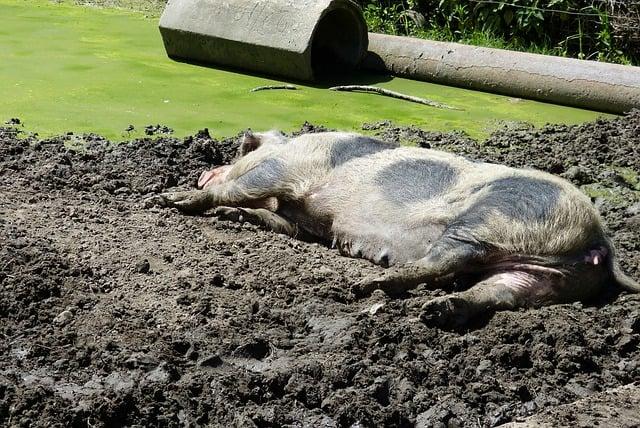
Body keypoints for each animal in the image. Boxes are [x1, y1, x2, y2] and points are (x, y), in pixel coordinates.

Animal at [152, 130, 636, 324]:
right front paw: (236, 216)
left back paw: (368, 286)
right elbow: (278, 222)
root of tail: (602, 242)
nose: (203, 172)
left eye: (236, 152)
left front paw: (168, 200)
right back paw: (436, 312)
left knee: (446, 261)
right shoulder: (307, 221)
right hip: (542, 277)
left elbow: (238, 189)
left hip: (489, 219)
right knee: (495, 293)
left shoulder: (285, 169)